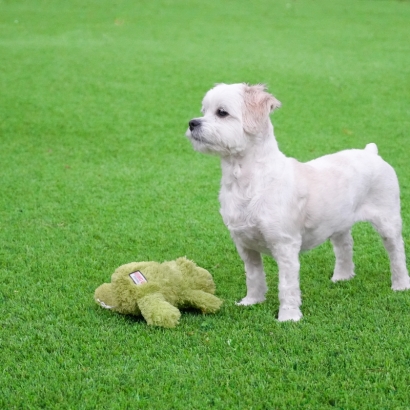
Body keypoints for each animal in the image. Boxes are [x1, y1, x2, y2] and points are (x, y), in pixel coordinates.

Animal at [186, 82, 410, 320]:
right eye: (204, 111)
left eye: (222, 112)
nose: (192, 123)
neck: (249, 182)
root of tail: (372, 153)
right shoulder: (244, 244)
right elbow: (254, 276)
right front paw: (252, 301)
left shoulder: (285, 244)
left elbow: (287, 285)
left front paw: (288, 317)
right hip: (339, 222)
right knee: (345, 245)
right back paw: (342, 276)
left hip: (388, 220)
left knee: (396, 251)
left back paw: (400, 284)